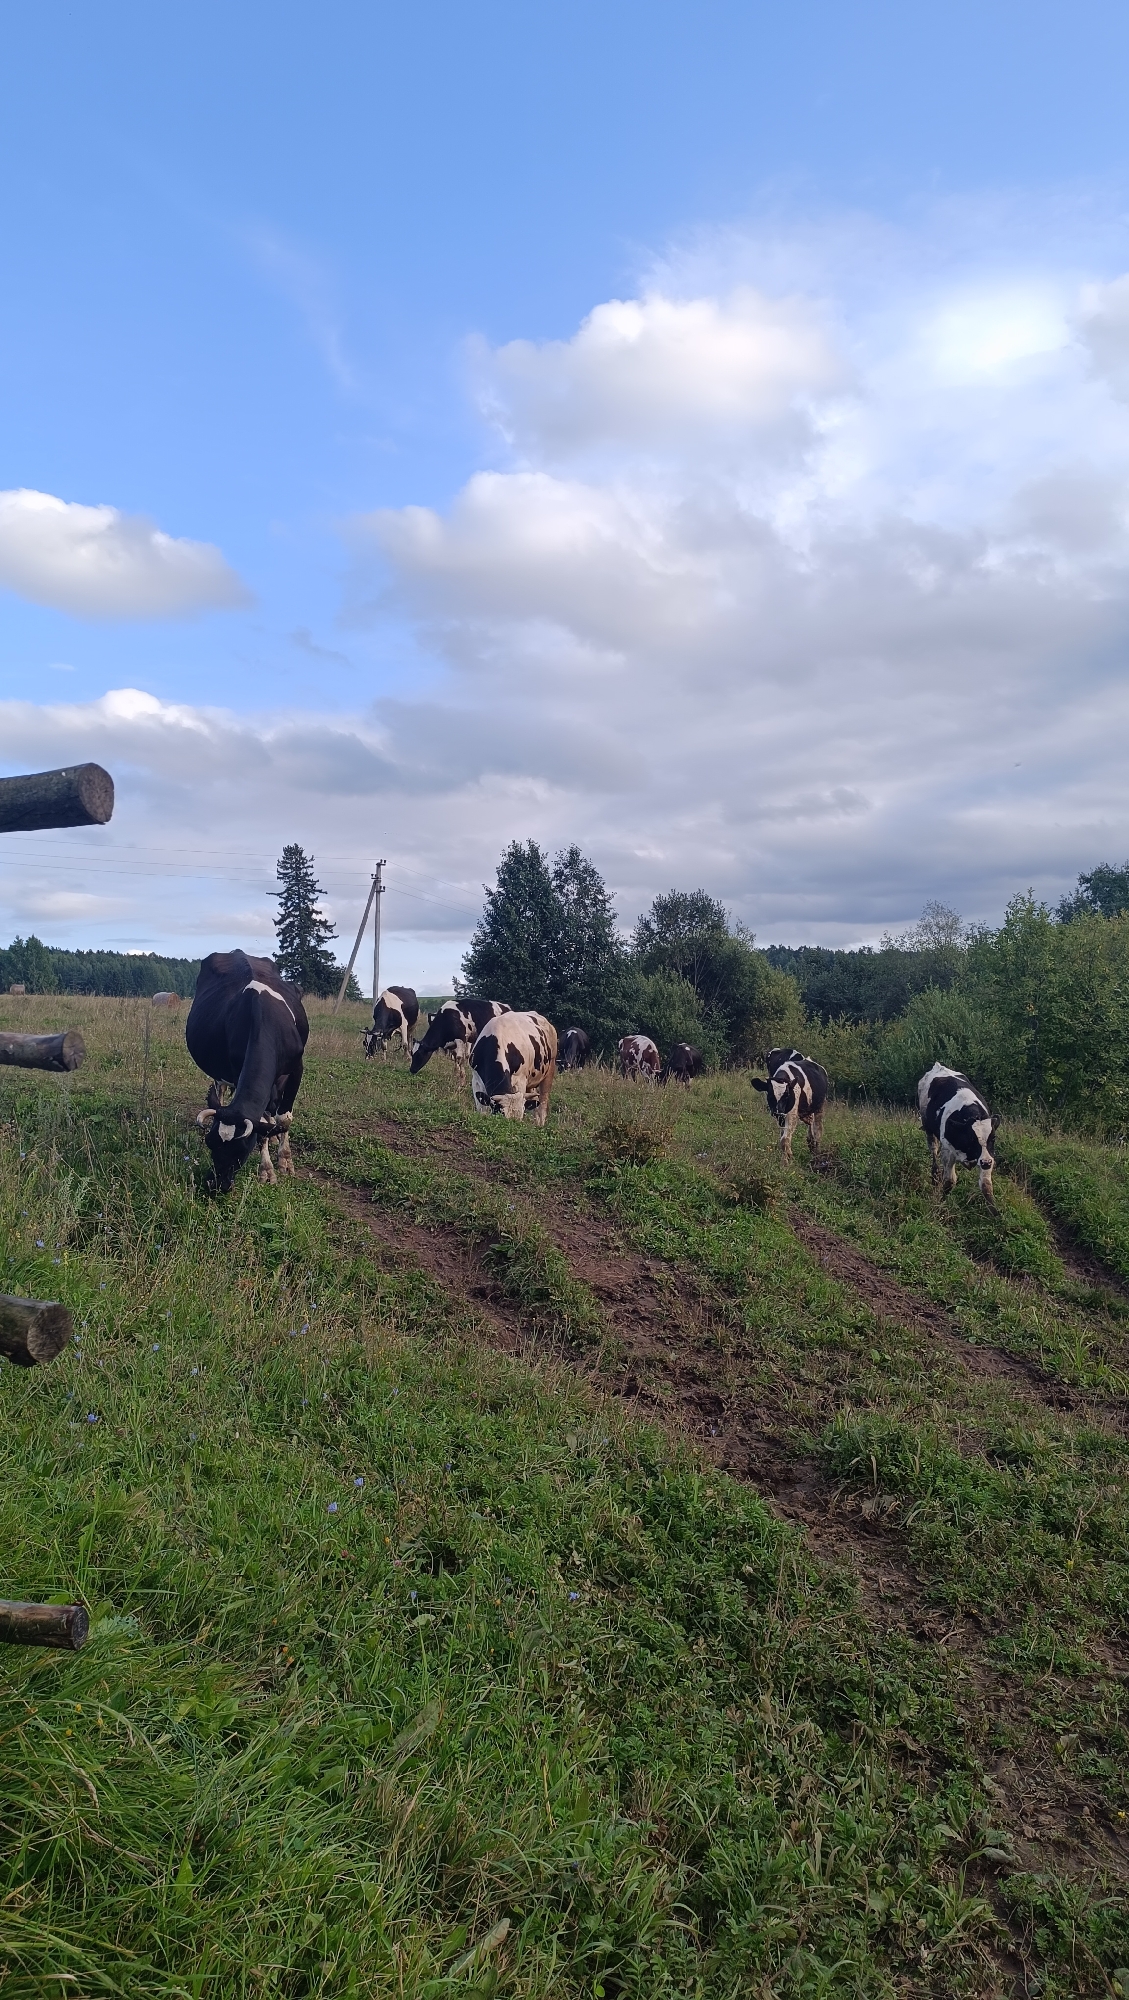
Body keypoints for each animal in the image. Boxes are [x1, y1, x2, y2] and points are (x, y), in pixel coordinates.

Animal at [186, 950, 309, 1192]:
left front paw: (284, 1161)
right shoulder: (235, 1069)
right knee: (222, 1092)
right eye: (209, 1143)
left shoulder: (296, 1068)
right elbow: (262, 1125)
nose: (216, 1185)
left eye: (240, 1150)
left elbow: (283, 1119)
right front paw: (266, 1170)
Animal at [917, 1063, 996, 1201]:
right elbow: (949, 1181)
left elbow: (986, 1186)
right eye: (971, 1138)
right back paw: (935, 1175)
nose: (986, 1163)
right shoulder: (948, 1153)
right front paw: (941, 1202)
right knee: (933, 1149)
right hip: (928, 1127)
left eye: (993, 1138)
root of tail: (938, 1066)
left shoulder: (986, 1156)